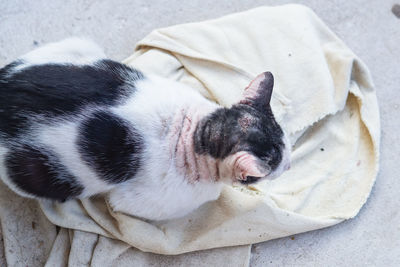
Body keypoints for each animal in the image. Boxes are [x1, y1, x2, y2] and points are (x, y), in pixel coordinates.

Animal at [0, 38, 290, 222]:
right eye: (277, 165)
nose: (288, 165)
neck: (199, 132)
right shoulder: (137, 202)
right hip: (35, 176)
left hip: (77, 46)